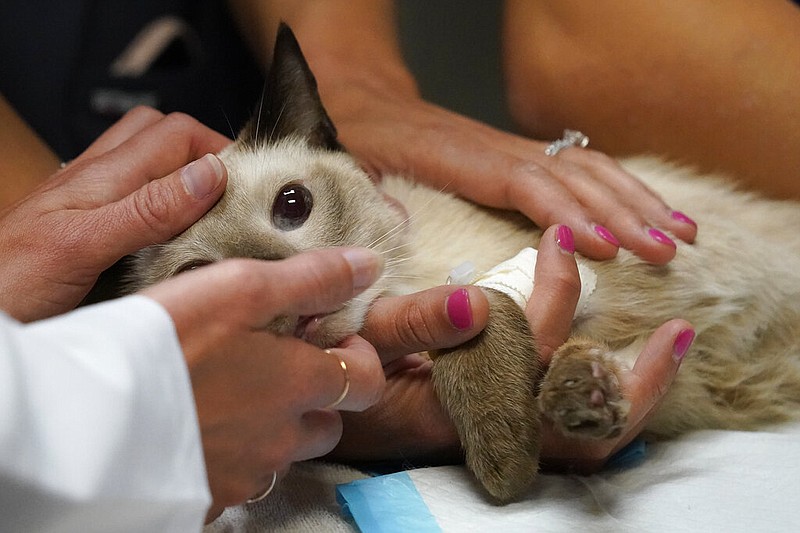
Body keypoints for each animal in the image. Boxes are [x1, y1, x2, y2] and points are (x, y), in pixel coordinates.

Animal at [123, 23, 800, 498]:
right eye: (205, 281)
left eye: (293, 205)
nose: (291, 296)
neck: (406, 282)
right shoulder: (649, 354)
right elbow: (483, 316)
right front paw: (561, 414)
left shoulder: (560, 249)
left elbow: (486, 303)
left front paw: (511, 453)